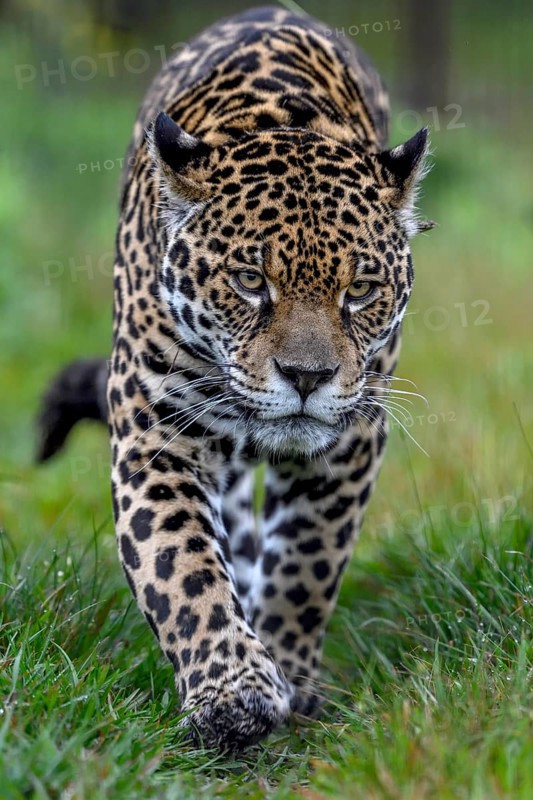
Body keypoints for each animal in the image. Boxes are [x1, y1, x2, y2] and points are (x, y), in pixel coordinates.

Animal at [37, 6, 434, 751]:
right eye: (250, 281)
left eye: (361, 290)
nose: (307, 376)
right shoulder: (157, 437)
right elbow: (181, 565)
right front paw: (234, 693)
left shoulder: (347, 445)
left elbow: (307, 565)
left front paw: (288, 675)